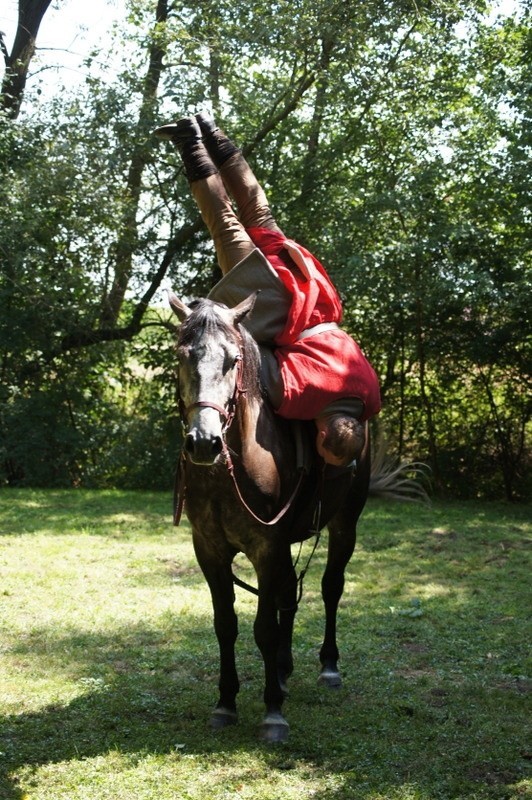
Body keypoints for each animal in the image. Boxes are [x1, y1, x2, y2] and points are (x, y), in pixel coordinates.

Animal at [170, 290, 370, 740]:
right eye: (183, 356)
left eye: (232, 360)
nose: (204, 442)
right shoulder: (210, 551)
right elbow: (226, 623)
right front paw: (226, 703)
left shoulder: (266, 548)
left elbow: (264, 628)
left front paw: (273, 712)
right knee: (287, 598)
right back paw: (282, 671)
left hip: (344, 525)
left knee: (330, 587)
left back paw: (327, 667)